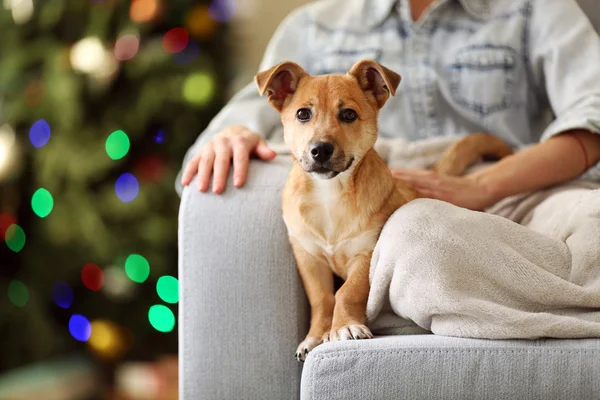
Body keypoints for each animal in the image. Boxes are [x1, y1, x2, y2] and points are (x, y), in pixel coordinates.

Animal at [253, 59, 510, 362]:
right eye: (303, 114)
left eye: (349, 114)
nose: (320, 150)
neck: (330, 194)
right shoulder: (308, 257)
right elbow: (321, 298)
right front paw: (315, 336)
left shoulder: (367, 253)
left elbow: (347, 292)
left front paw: (345, 327)